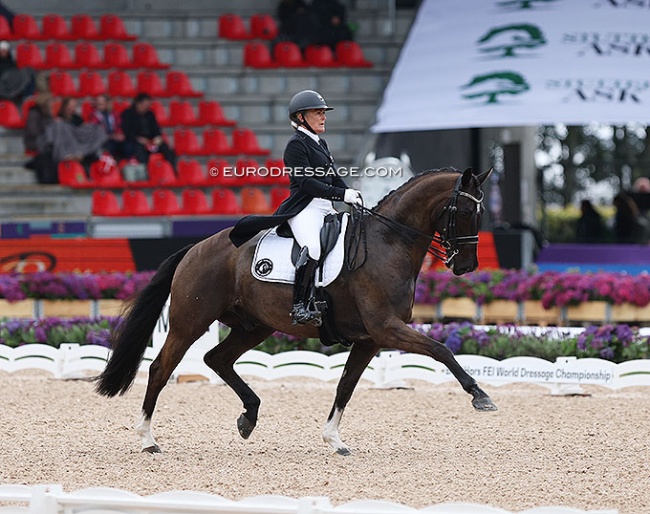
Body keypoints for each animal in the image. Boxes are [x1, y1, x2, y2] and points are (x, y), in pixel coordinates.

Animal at [93, 164, 494, 452]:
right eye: (464, 210)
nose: (466, 266)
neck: (388, 241)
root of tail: (196, 247)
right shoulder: (386, 327)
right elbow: (441, 349)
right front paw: (480, 396)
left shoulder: (371, 339)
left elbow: (346, 385)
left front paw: (333, 439)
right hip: (189, 322)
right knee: (161, 369)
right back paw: (147, 439)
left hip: (254, 326)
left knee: (216, 359)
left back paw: (249, 416)